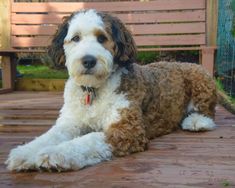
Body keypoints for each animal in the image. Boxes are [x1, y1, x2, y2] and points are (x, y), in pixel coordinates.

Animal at [5, 9, 217, 172]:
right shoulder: (70, 122)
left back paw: (196, 121)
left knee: (208, 112)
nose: (88, 60)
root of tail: (183, 62)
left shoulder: (127, 129)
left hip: (201, 79)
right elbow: (49, 136)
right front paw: (25, 153)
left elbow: (87, 140)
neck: (92, 90)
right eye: (75, 38)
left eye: (102, 38)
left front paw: (56, 153)